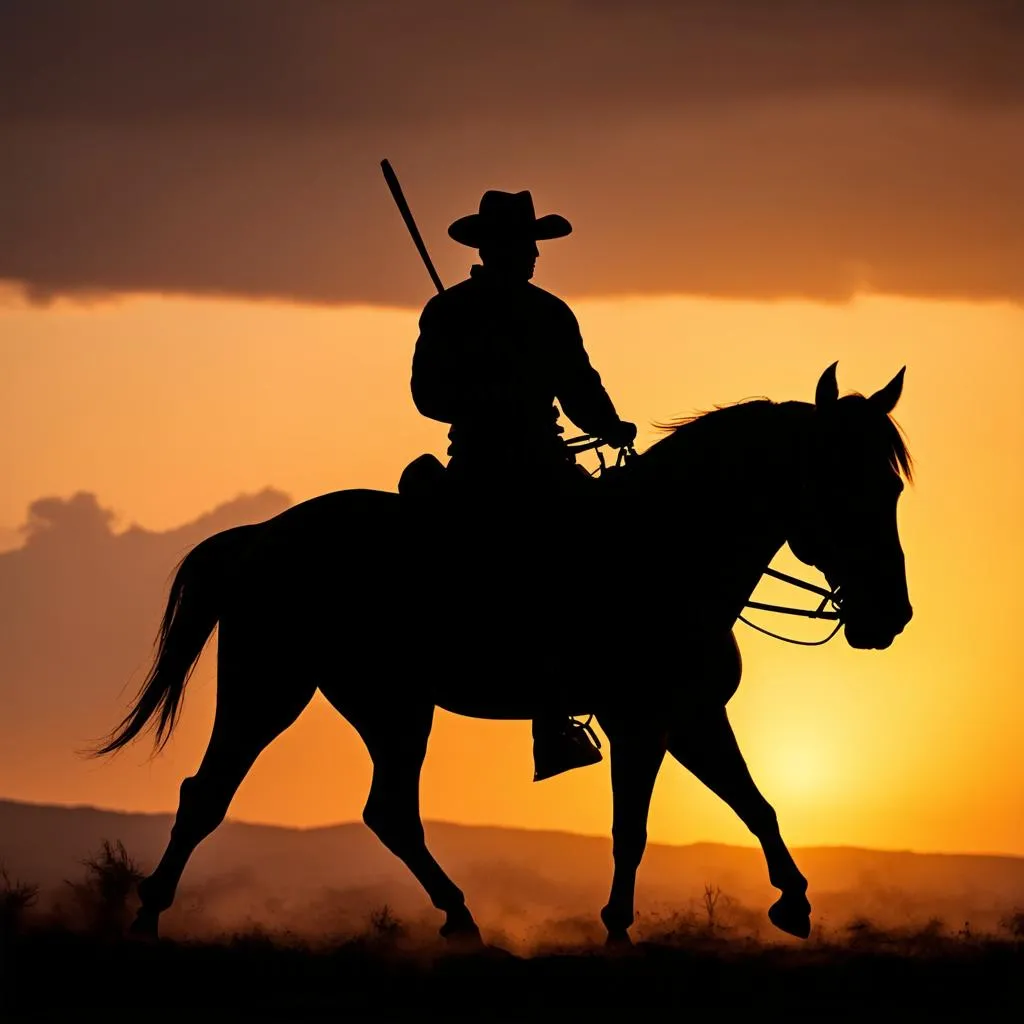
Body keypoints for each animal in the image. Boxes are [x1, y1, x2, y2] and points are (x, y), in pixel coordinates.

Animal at [96, 364, 913, 946]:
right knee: (211, 793)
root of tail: (261, 537)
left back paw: (460, 920)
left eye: (895, 488)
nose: (891, 615)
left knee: (383, 811)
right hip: (275, 688)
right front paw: (617, 930)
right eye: (847, 485)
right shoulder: (639, 721)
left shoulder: (690, 716)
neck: (667, 551)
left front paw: (794, 901)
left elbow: (755, 803)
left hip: (384, 704)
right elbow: (632, 827)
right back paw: (147, 917)